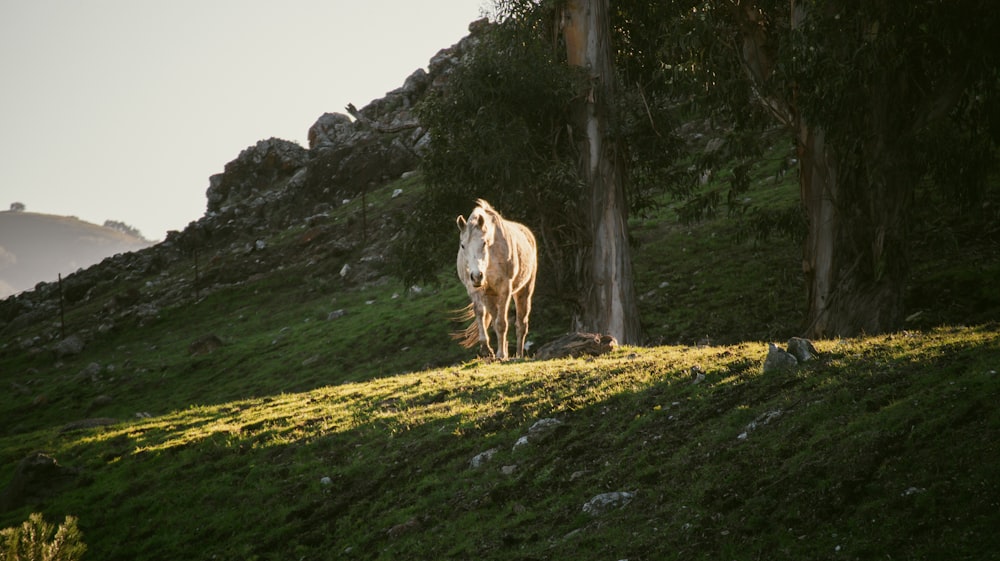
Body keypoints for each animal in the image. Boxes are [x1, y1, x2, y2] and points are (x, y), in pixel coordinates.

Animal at [458, 200, 540, 358]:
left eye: (484, 243)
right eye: (463, 245)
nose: (476, 276)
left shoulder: (504, 288)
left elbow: (502, 323)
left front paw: (501, 354)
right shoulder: (478, 290)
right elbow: (482, 314)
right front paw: (487, 349)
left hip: (524, 290)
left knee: (521, 324)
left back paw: (518, 355)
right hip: (491, 295)